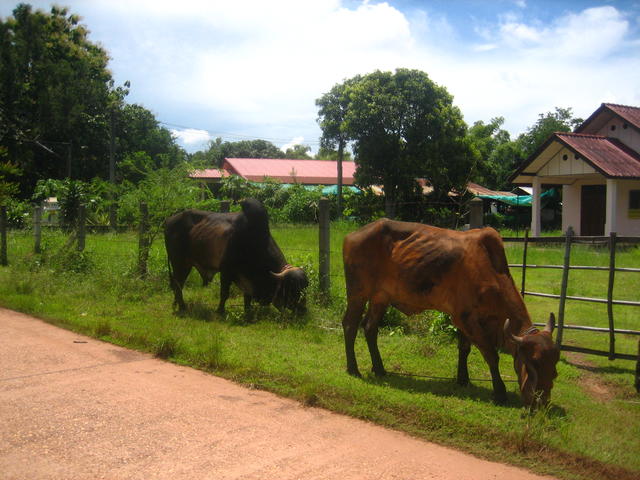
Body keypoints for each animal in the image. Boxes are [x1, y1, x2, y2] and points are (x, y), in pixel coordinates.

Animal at [162, 199, 308, 316]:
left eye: (304, 287)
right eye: (292, 288)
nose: (302, 311)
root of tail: (168, 220)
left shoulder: (246, 277)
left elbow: (247, 297)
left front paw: (248, 312)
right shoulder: (226, 271)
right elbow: (224, 294)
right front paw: (220, 312)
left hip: (185, 264)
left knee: (178, 284)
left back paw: (176, 305)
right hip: (179, 262)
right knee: (178, 284)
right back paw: (182, 307)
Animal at [342, 219, 556, 406]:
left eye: (554, 370)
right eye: (533, 363)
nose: (539, 402)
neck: (491, 274)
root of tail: (352, 235)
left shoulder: (465, 320)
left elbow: (464, 349)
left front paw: (463, 379)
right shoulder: (465, 318)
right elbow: (491, 355)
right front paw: (500, 393)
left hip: (380, 297)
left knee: (370, 327)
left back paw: (379, 369)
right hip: (357, 293)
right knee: (350, 325)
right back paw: (353, 369)